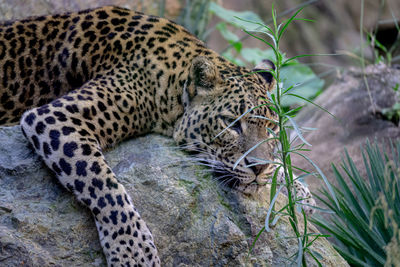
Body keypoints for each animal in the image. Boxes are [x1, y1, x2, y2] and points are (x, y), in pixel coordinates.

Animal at [0, 6, 316, 267]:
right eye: (232, 124)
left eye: (272, 128)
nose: (258, 168)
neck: (172, 83)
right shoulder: (55, 116)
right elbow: (103, 183)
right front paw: (133, 251)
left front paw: (297, 187)